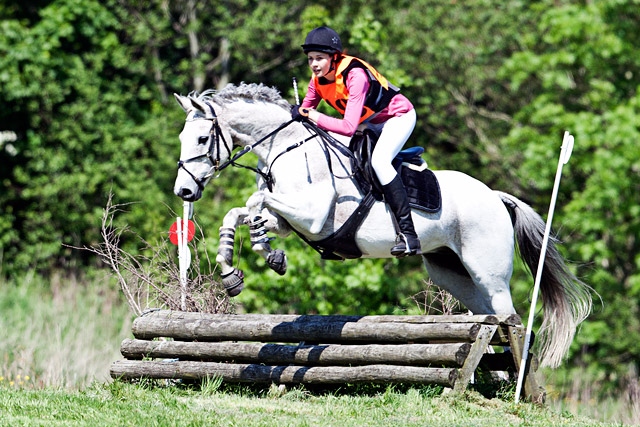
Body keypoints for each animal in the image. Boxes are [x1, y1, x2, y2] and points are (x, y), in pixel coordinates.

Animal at [170, 83, 592, 368]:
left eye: (203, 138)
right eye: (182, 137)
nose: (184, 191)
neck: (288, 147)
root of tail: (496, 197)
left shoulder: (315, 216)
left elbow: (257, 202)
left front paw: (265, 250)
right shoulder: (289, 220)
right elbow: (241, 212)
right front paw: (239, 269)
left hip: (487, 270)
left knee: (510, 318)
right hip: (451, 272)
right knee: (488, 319)